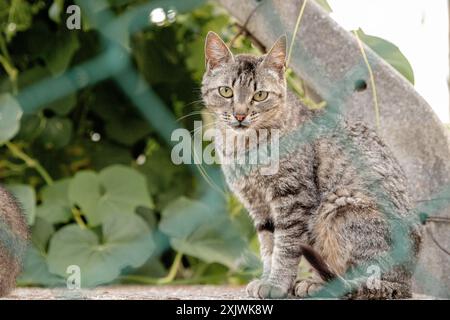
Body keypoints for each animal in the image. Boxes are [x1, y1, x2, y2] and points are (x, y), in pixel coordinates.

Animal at [202, 31, 424, 298]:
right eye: (226, 91)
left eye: (260, 95)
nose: (240, 115)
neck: (243, 146)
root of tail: (406, 283)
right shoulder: (258, 206)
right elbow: (268, 246)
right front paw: (266, 280)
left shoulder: (294, 198)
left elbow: (285, 248)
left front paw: (276, 284)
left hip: (340, 205)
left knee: (363, 280)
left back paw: (321, 285)